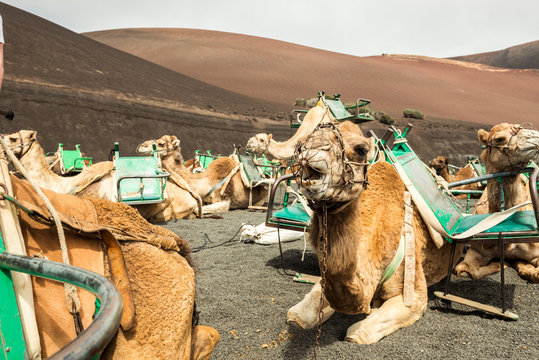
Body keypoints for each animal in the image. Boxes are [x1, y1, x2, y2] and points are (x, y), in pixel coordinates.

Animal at [286, 120, 460, 344]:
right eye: (301, 143)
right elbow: (299, 314)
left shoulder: (414, 292)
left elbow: (356, 333)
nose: (311, 151)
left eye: (361, 149)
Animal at [456, 124, 539, 284]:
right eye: (499, 139)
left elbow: (537, 273)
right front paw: (503, 263)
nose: (535, 136)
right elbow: (464, 269)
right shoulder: (476, 250)